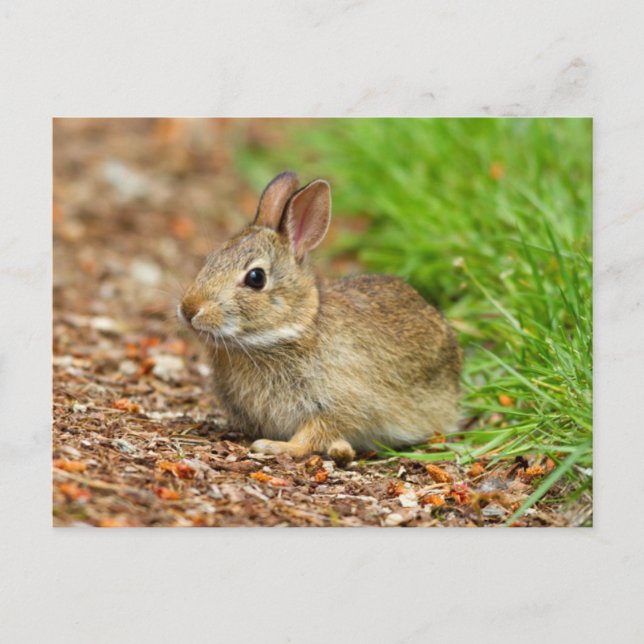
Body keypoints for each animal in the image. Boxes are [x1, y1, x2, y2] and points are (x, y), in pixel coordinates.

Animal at [178, 172, 462, 465]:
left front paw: (274, 447)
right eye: (211, 260)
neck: (291, 330)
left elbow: (314, 432)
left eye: (256, 278)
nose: (189, 310)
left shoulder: (341, 403)